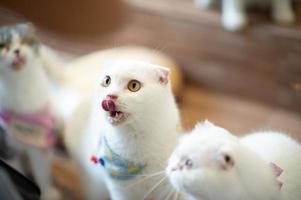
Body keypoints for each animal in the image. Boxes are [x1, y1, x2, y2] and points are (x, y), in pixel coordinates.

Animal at [0, 23, 61, 200]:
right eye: (4, 47)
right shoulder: (6, 146)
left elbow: (42, 173)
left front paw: (47, 193)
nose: (16, 51)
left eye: (23, 42)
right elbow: (16, 172)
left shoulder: (40, 142)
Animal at [65, 59, 183, 200]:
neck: (135, 137)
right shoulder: (120, 192)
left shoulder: (166, 188)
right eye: (107, 81)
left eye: (134, 85)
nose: (109, 96)